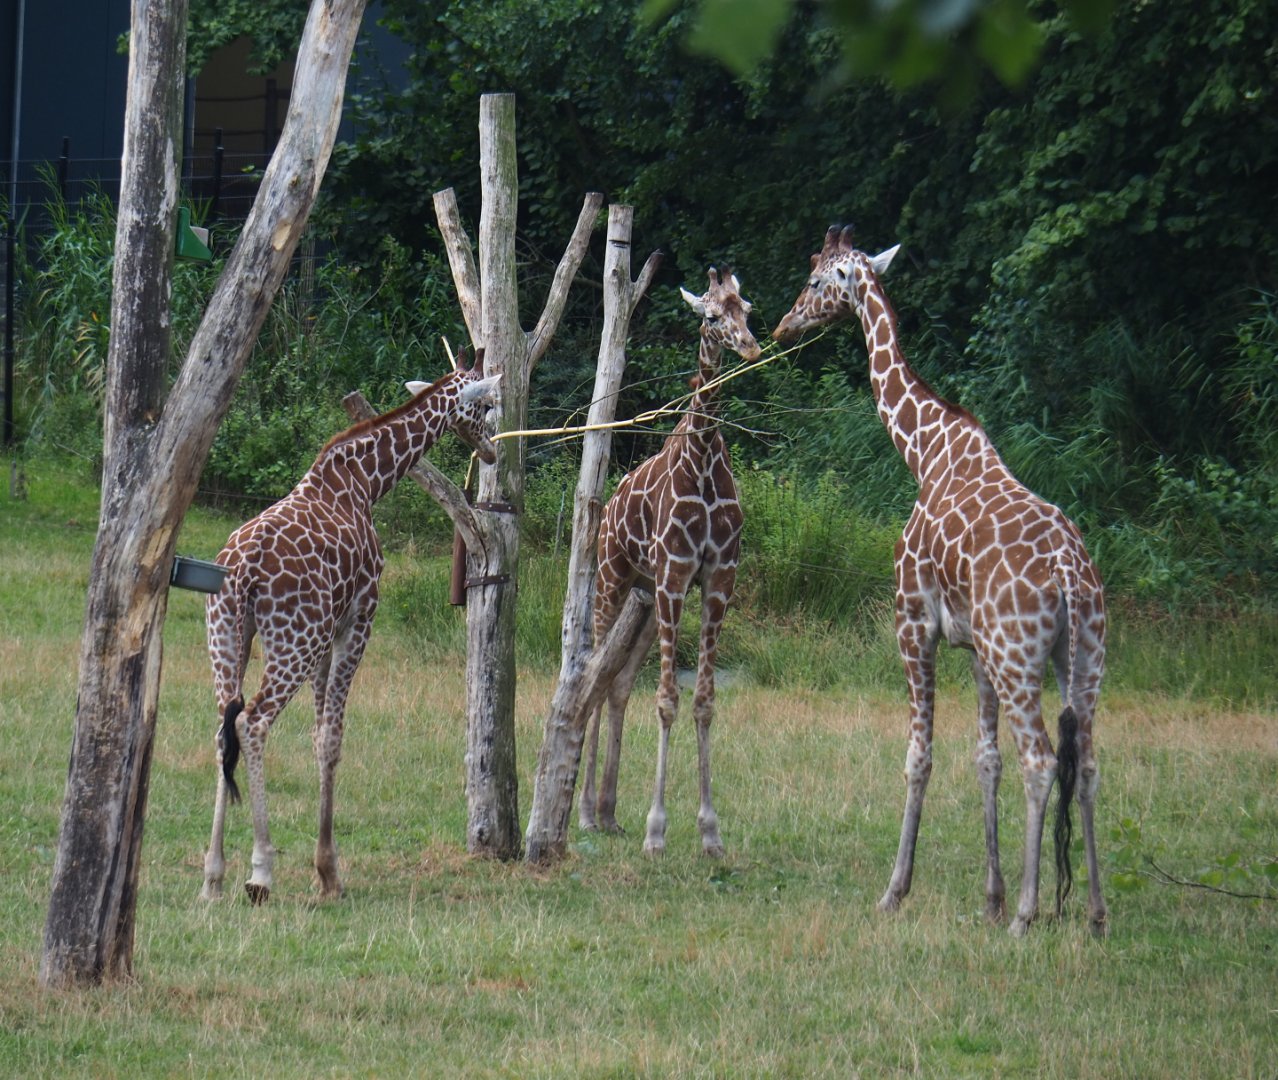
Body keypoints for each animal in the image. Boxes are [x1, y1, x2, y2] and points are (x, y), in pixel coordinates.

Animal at [201, 349, 500, 904]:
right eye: (486, 404)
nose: (492, 450)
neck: (364, 483)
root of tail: (245, 570)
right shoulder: (358, 618)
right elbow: (333, 737)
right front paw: (328, 873)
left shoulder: (328, 632)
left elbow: (319, 734)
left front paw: (323, 870)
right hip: (293, 639)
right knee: (252, 722)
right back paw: (260, 872)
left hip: (228, 634)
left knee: (223, 727)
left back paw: (212, 875)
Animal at [578, 268, 761, 857]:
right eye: (712, 314)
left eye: (747, 308)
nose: (749, 345)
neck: (702, 459)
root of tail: (609, 505)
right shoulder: (676, 576)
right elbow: (665, 700)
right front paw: (657, 832)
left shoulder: (718, 580)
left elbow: (702, 701)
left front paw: (710, 832)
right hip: (614, 579)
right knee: (590, 678)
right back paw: (584, 813)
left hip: (643, 594)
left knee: (615, 684)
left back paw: (608, 813)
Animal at [773, 226, 1107, 936]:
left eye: (815, 280)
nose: (786, 324)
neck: (924, 453)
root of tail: (1070, 573)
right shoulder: (976, 648)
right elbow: (986, 761)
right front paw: (991, 895)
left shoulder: (914, 622)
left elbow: (918, 756)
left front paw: (896, 890)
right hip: (1083, 655)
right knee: (1087, 762)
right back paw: (1094, 913)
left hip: (1019, 656)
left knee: (1043, 759)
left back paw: (1030, 915)